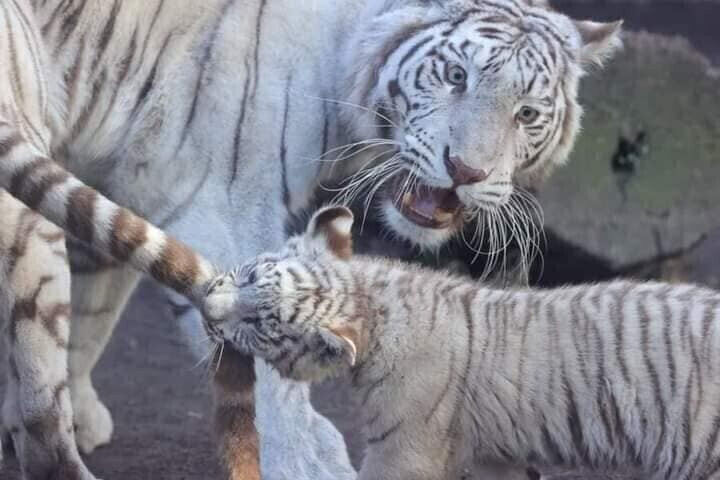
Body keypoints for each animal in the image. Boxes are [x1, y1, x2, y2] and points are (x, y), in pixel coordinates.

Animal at [0, 0, 620, 478]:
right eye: (456, 76)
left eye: (527, 113)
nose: (465, 169)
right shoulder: (222, 202)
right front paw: (310, 460)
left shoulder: (117, 172)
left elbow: (93, 311)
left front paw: (82, 412)